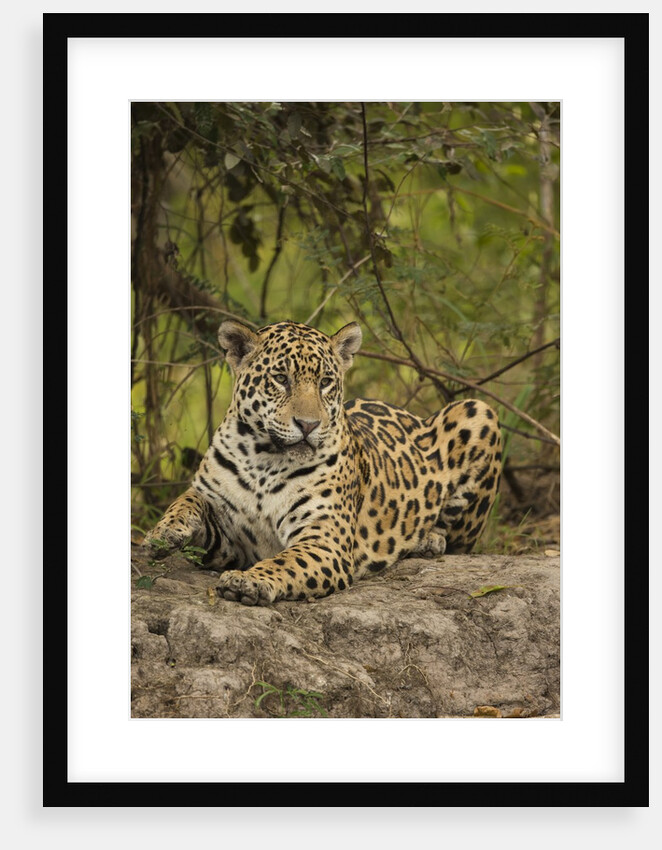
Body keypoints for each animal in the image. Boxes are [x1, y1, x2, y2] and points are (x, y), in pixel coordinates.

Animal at [143, 319, 502, 606]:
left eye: (326, 382)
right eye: (280, 378)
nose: (308, 425)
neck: (264, 457)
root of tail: (413, 415)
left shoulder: (324, 541)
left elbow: (286, 561)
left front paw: (249, 581)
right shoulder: (231, 543)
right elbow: (188, 499)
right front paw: (163, 533)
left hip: (478, 410)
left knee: (457, 540)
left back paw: (428, 540)